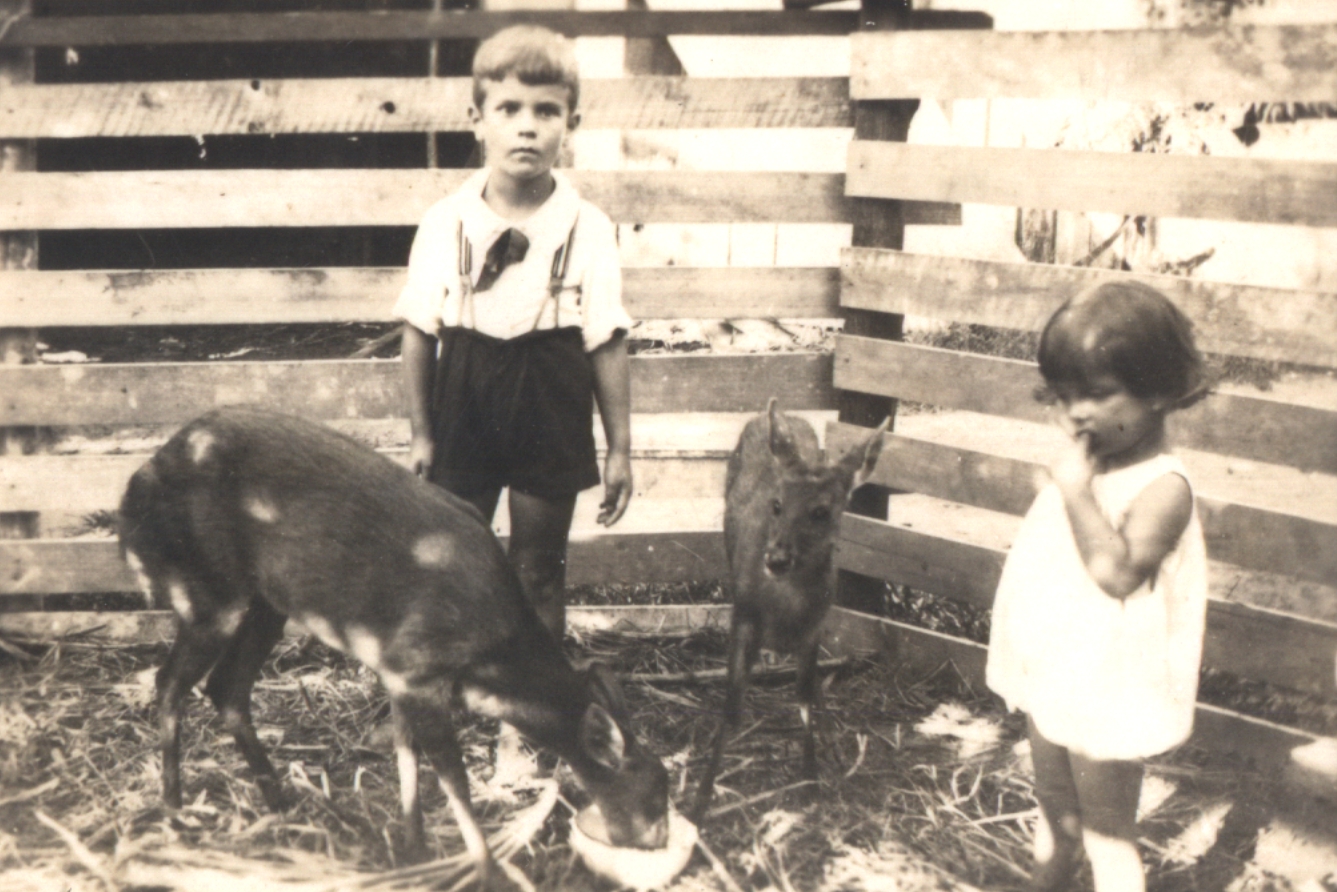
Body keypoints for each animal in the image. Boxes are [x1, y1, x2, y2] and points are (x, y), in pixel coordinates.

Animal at [118, 407, 668, 885]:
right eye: (655, 801)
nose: (661, 841)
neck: (487, 657)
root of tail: (134, 492)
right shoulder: (416, 667)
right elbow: (454, 778)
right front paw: (488, 870)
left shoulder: (398, 670)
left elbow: (408, 756)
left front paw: (413, 846)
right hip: (206, 589)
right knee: (170, 682)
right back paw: (176, 810)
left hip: (267, 603)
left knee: (226, 686)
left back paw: (282, 803)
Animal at [691, 399, 886, 823]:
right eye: (777, 504)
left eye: (821, 512)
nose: (776, 559)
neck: (783, 612)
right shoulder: (743, 617)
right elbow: (732, 706)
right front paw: (700, 799)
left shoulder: (815, 628)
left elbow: (805, 698)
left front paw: (811, 782)